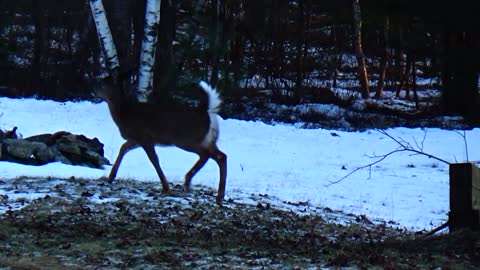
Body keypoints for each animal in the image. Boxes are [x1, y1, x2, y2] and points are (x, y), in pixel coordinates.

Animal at [96, 74, 228, 205]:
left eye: (102, 83)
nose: (93, 88)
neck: (125, 113)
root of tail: (206, 112)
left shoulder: (144, 137)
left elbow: (154, 159)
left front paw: (166, 187)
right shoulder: (136, 139)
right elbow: (123, 148)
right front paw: (111, 177)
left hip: (187, 139)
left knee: (211, 155)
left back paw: (202, 188)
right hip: (207, 140)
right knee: (218, 155)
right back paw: (206, 190)